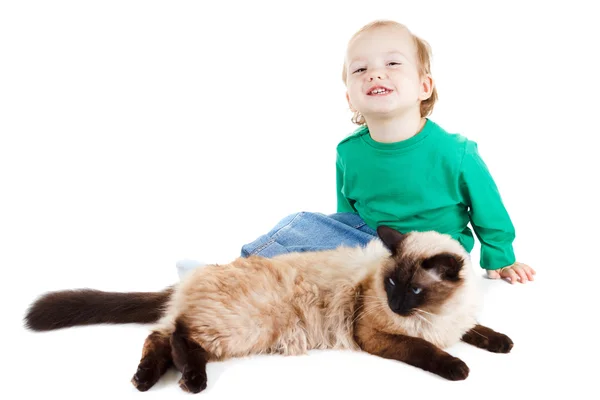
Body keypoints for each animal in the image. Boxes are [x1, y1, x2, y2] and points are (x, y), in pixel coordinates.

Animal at [22, 227, 510, 392]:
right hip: (245, 327)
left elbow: (478, 330)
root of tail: (194, 276)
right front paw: (458, 369)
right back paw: (191, 383)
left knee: (159, 336)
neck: (435, 318)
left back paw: (145, 381)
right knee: (177, 335)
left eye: (414, 290)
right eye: (391, 285)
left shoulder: (458, 322)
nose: (395, 302)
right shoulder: (378, 336)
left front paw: (502, 343)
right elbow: (426, 351)